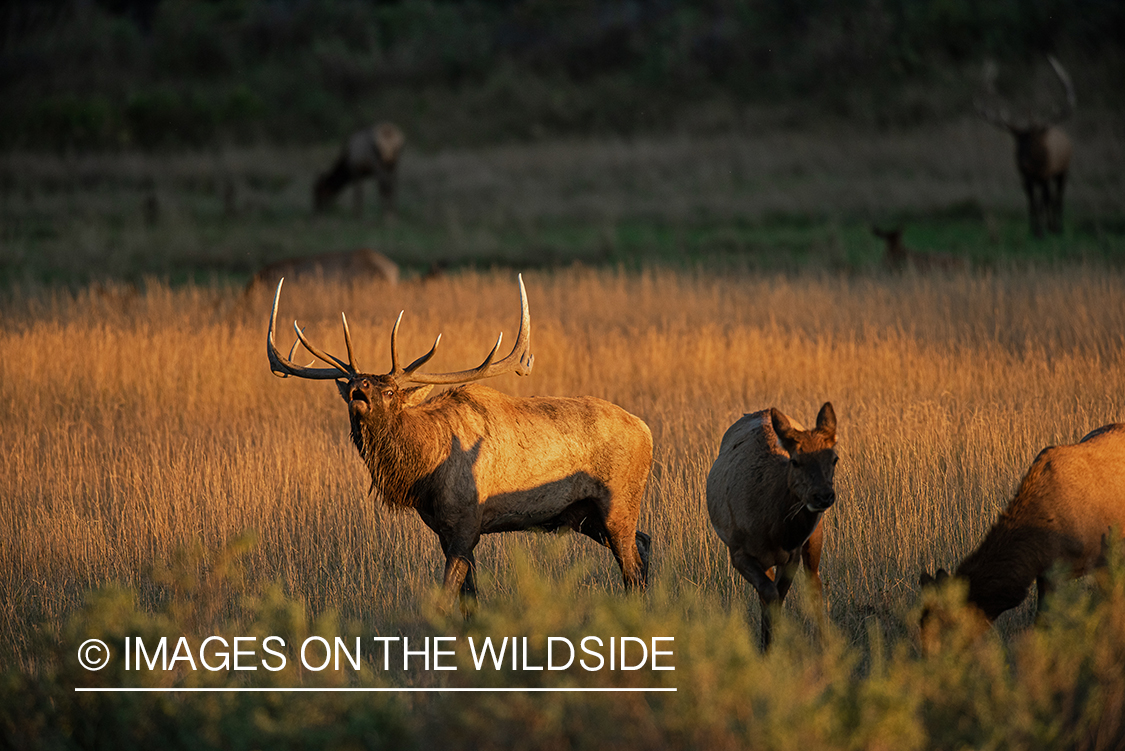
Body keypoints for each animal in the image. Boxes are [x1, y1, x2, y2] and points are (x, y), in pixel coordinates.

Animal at [268, 273, 657, 611]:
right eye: (353, 383)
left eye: (390, 391)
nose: (358, 390)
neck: (424, 472)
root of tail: (647, 431)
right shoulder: (442, 528)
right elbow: (469, 598)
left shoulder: (467, 522)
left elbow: (444, 598)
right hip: (584, 516)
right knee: (644, 542)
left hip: (619, 502)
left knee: (631, 565)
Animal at [706, 402, 841, 647]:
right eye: (795, 460)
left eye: (834, 459)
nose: (823, 496)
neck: (773, 530)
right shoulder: (738, 552)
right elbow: (769, 594)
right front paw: (767, 646)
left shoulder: (792, 555)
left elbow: (778, 595)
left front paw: (771, 645)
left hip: (816, 534)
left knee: (814, 582)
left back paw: (823, 641)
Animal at [981, 55, 1075, 236]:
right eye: (1017, 144)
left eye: (1034, 142)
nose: (1023, 163)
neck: (1036, 166)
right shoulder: (1026, 178)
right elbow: (1031, 202)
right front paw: (1035, 230)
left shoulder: (1046, 172)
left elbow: (1044, 199)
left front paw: (1046, 230)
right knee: (1046, 198)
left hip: (1063, 170)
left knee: (1057, 197)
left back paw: (1057, 227)